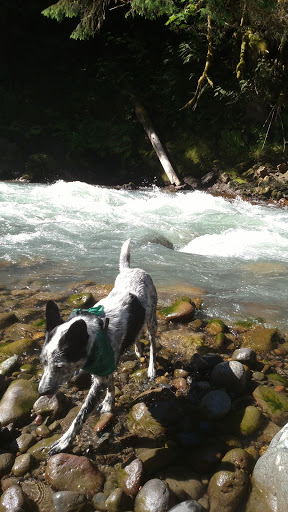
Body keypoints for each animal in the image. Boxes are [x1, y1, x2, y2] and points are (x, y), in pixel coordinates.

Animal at [38, 240, 158, 456]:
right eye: (43, 363)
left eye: (60, 366)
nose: (42, 392)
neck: (95, 332)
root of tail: (131, 269)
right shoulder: (106, 365)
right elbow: (111, 384)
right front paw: (109, 402)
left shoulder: (101, 373)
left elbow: (81, 415)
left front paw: (64, 441)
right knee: (136, 334)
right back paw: (137, 350)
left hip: (151, 318)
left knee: (153, 342)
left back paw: (152, 367)